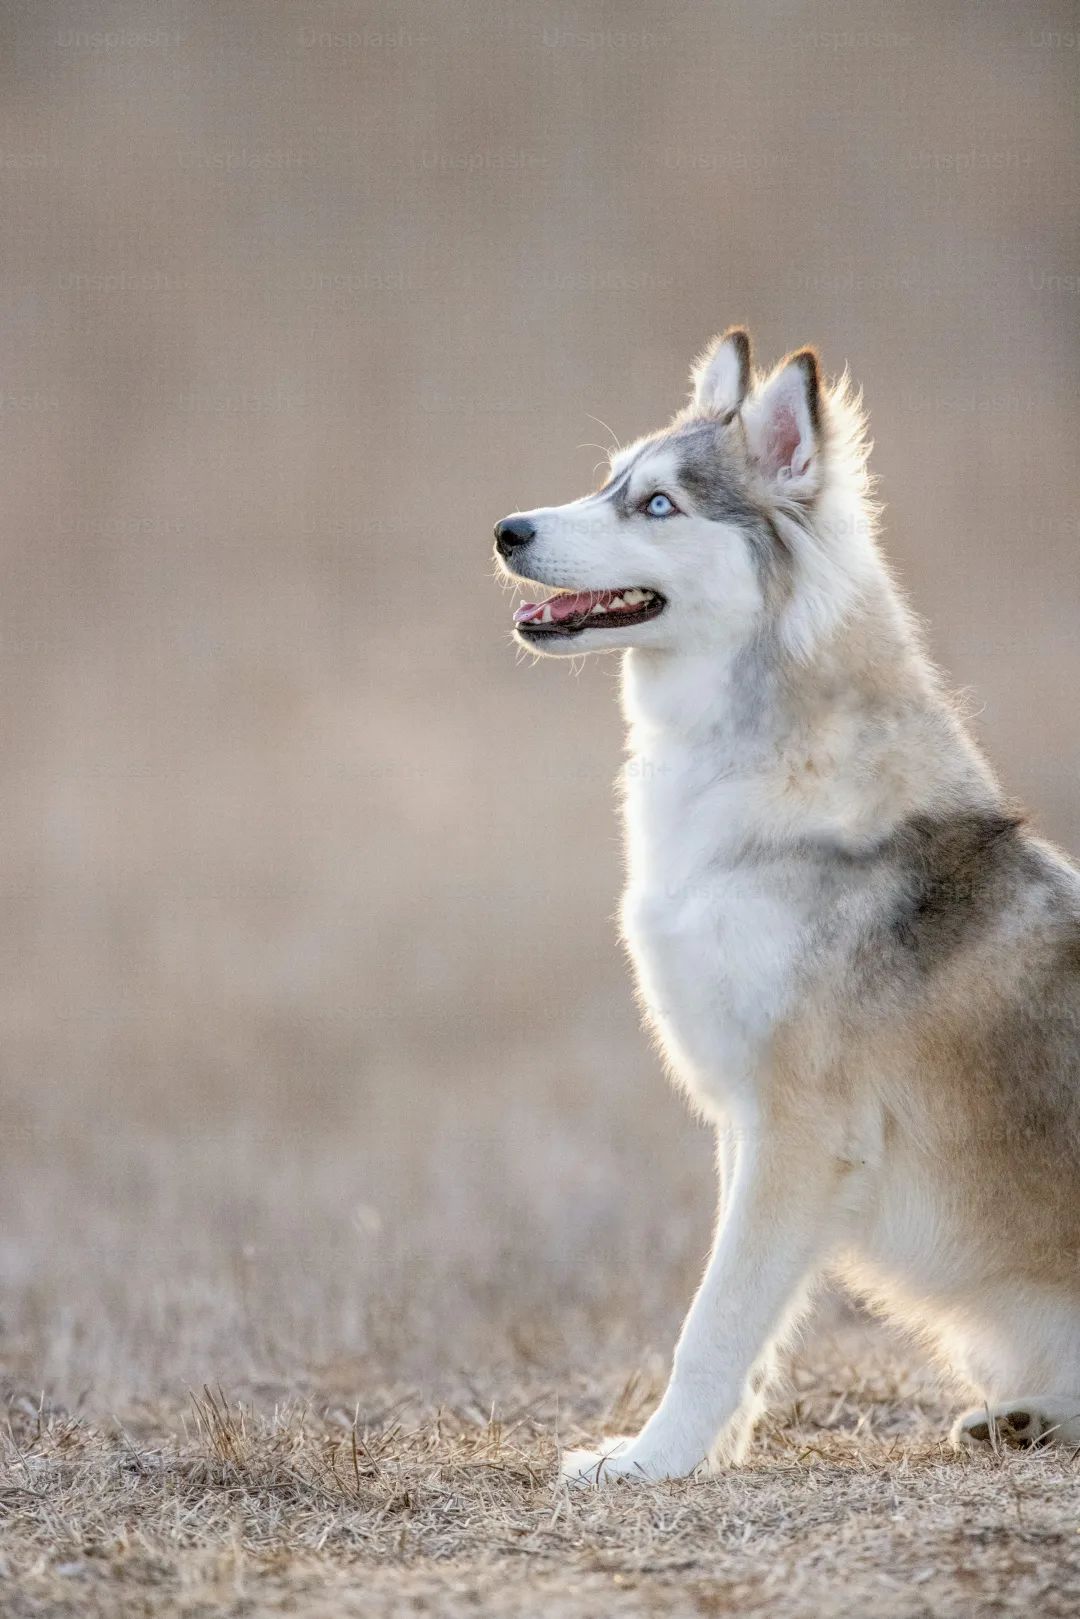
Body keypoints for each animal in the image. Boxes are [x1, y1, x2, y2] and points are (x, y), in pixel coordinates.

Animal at [495, 325, 1080, 1483]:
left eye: (660, 505)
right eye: (609, 481)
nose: (507, 530)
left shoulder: (799, 1124)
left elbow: (715, 1320)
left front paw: (651, 1462)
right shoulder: (745, 1119)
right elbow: (744, 1317)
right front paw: (706, 1453)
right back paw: (1024, 1417)